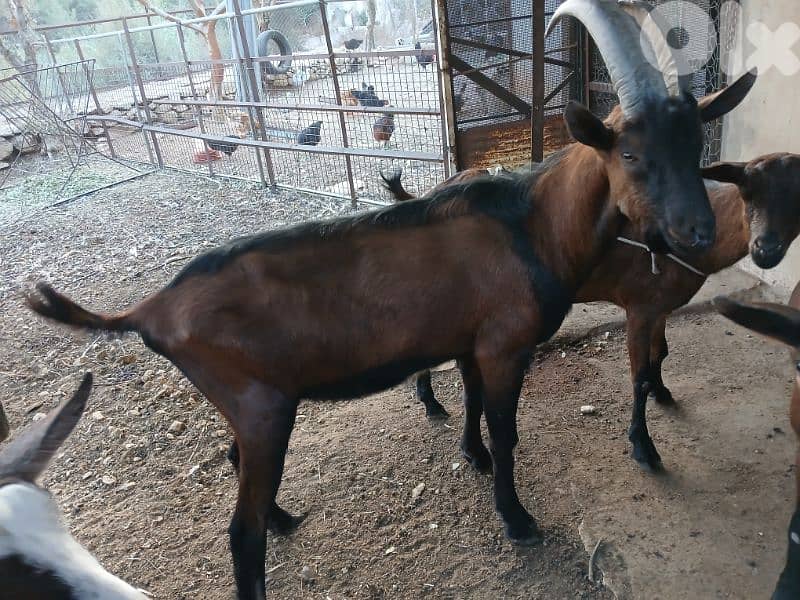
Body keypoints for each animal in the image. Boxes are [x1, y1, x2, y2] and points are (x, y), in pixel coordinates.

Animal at [24, 2, 756, 597]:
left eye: (695, 143)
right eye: (630, 153)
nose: (699, 231)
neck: (532, 225)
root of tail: (148, 311)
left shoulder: (469, 340)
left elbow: (470, 405)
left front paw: (471, 456)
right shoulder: (505, 345)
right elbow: (507, 429)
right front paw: (516, 517)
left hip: (247, 407)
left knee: (238, 471)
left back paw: (286, 517)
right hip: (260, 407)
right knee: (239, 532)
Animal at [389, 153, 800, 472]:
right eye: (747, 191)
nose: (766, 249)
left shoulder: (660, 305)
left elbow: (661, 354)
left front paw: (663, 391)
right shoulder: (640, 307)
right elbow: (638, 377)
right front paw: (643, 447)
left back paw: (429, 399)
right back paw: (432, 402)